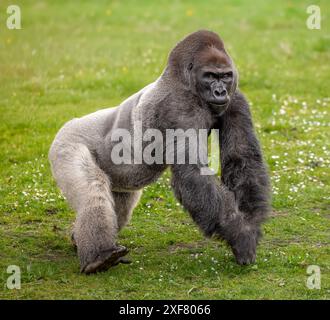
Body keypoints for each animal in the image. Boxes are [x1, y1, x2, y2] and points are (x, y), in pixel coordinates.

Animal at [49, 30, 270, 276]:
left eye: (226, 76)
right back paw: (98, 257)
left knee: (119, 209)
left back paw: (78, 240)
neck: (183, 80)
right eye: (210, 76)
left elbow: (242, 158)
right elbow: (193, 173)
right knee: (92, 190)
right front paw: (240, 235)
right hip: (66, 143)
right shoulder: (178, 107)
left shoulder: (236, 99)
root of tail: (69, 124)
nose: (220, 91)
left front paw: (250, 221)